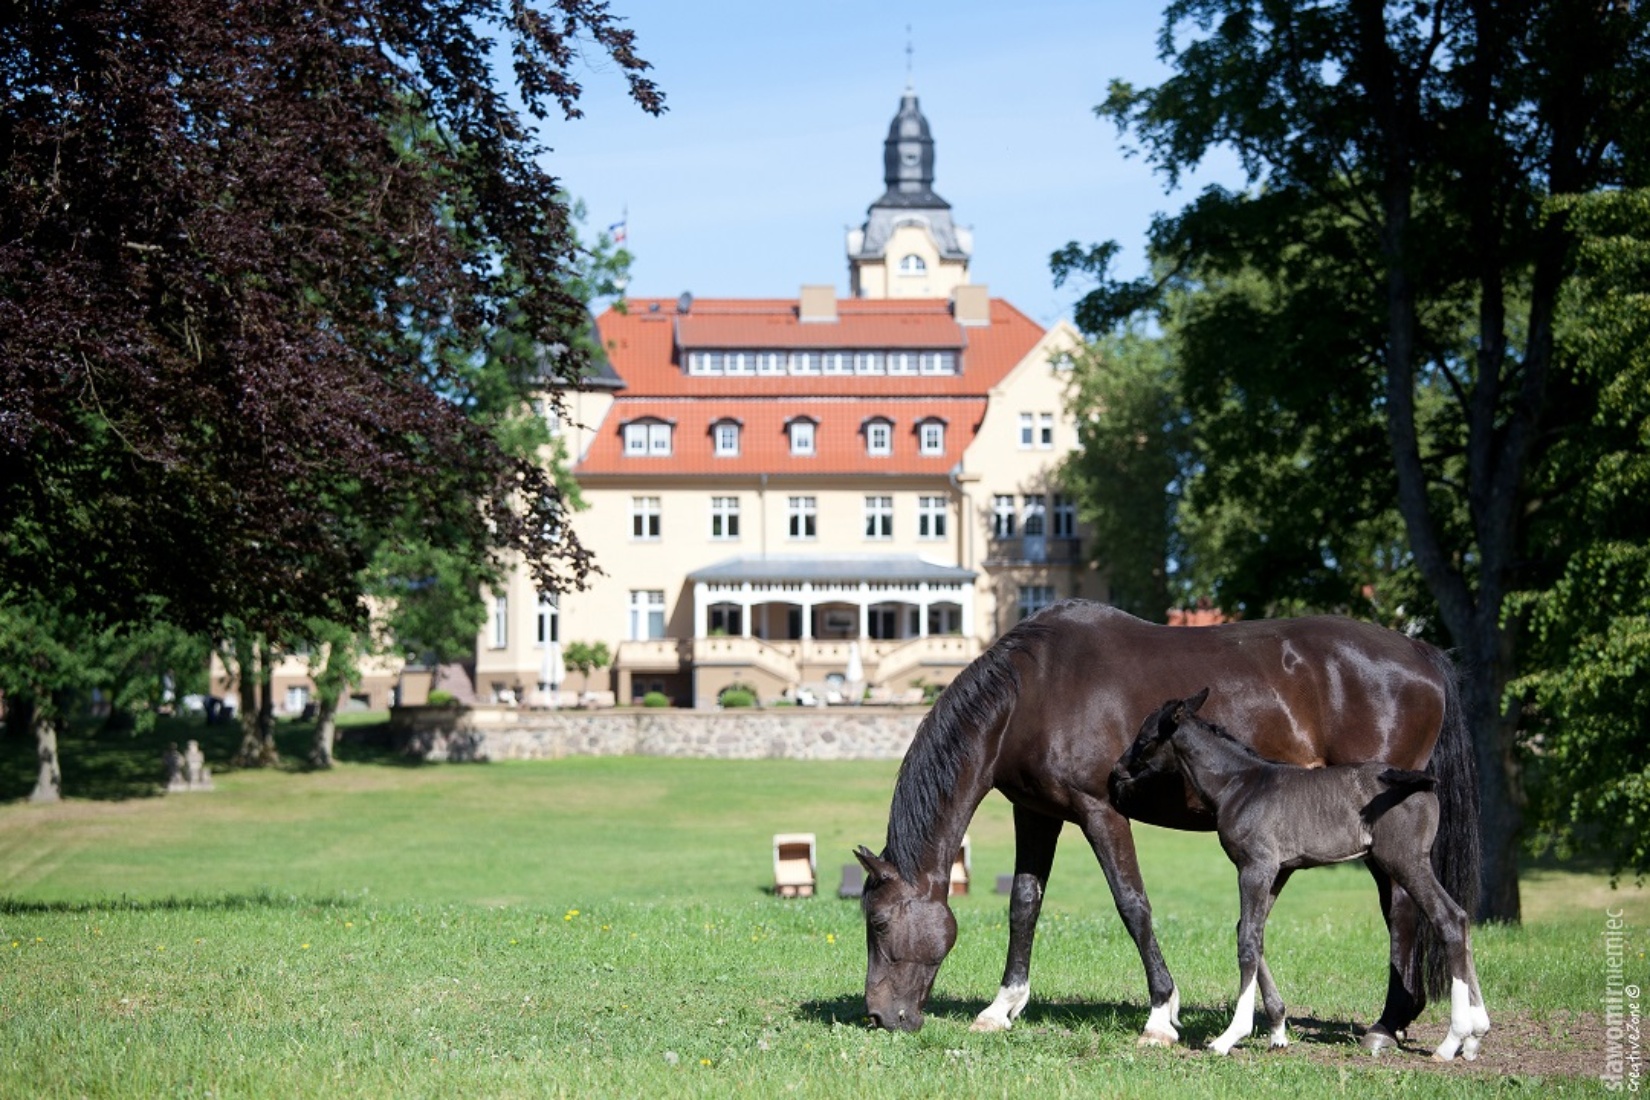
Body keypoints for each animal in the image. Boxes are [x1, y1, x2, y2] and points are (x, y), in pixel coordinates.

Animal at [1115, 692, 1491, 1062]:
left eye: (1144, 739)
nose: (1117, 770)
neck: (1238, 785)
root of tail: (1421, 782)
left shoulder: (1256, 867)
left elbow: (1247, 941)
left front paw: (1230, 1036)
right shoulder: (1279, 871)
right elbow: (1252, 932)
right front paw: (1278, 1032)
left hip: (1405, 860)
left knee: (1448, 919)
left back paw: (1452, 1040)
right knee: (1460, 917)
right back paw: (1475, 1035)